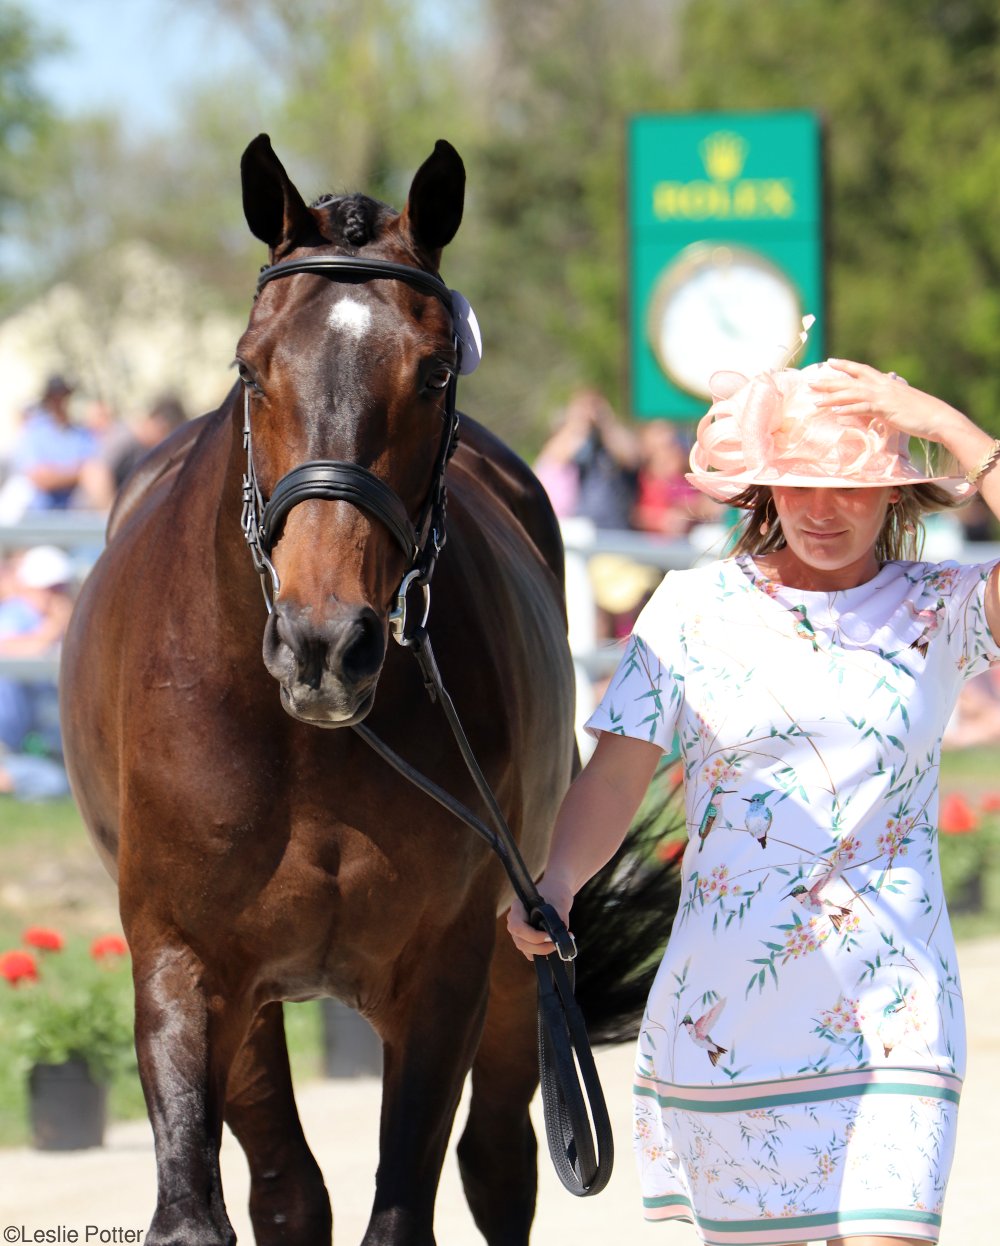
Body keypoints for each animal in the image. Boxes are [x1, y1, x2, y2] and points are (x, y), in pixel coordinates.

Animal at [62, 136, 582, 1246]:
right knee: (290, 1189)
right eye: (248, 366)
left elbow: (407, 1202)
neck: (307, 744)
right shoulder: (183, 964)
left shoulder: (444, 976)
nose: (323, 645)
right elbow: (204, 1206)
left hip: (518, 968)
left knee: (499, 1159)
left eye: (434, 371)